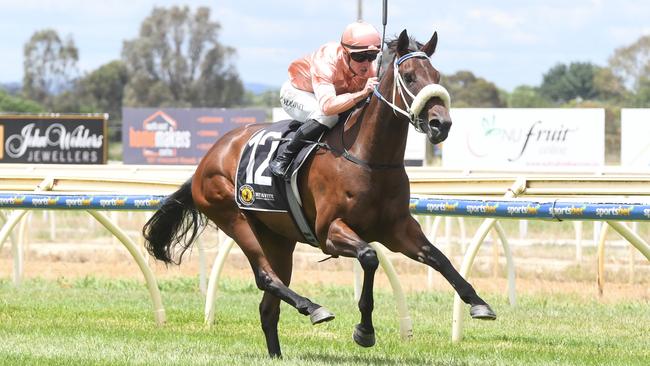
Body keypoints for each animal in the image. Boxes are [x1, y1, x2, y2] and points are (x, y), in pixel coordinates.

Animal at [144, 30, 494, 358]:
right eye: (408, 76)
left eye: (437, 76)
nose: (440, 124)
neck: (369, 158)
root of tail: (207, 158)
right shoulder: (330, 231)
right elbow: (369, 257)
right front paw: (364, 330)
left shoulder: (398, 229)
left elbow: (439, 258)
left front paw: (478, 303)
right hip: (234, 218)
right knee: (265, 276)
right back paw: (313, 308)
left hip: (277, 238)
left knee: (268, 305)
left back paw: (278, 353)